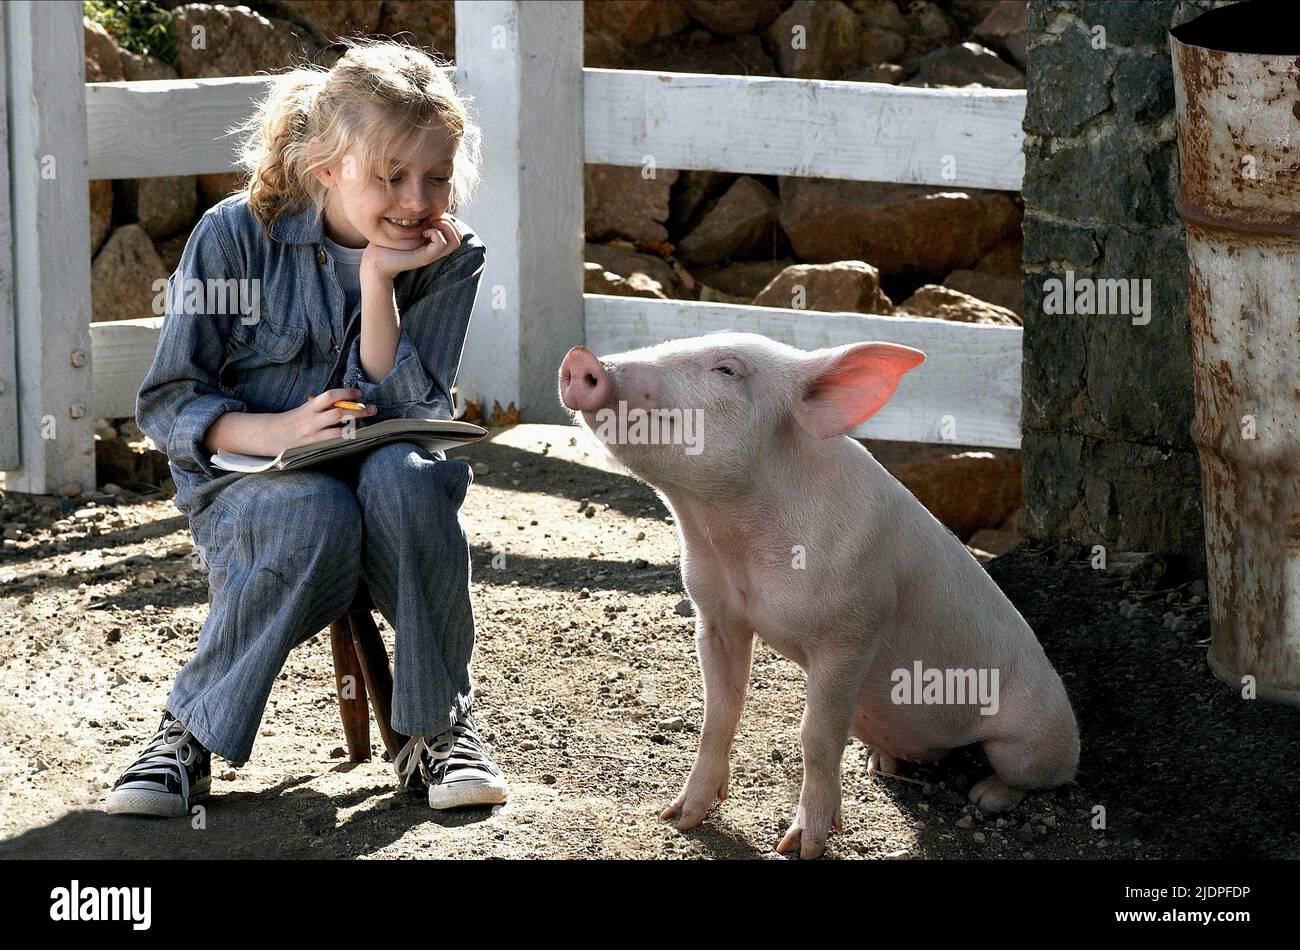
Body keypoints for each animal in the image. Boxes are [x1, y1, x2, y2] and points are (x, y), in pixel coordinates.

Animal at [559, 335, 1076, 862]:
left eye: (727, 370)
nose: (581, 359)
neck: (731, 540)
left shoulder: (852, 630)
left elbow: (817, 735)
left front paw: (801, 847)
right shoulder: (715, 612)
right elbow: (718, 712)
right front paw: (678, 817)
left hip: (1034, 739)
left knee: (1036, 775)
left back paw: (984, 796)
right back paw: (879, 764)